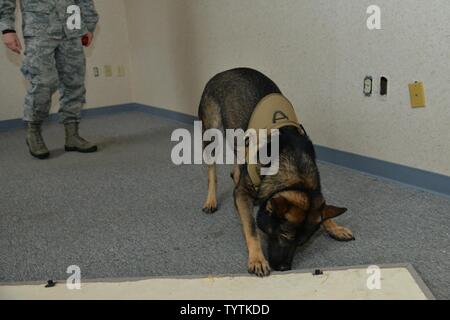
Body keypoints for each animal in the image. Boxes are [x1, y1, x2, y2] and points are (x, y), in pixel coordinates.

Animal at [199, 68, 354, 278]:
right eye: (283, 236)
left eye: (301, 243)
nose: (283, 269)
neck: (296, 176)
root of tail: (225, 72)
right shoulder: (243, 193)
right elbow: (251, 228)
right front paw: (257, 259)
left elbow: (323, 208)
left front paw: (334, 227)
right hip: (211, 134)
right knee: (212, 171)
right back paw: (211, 200)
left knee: (236, 167)